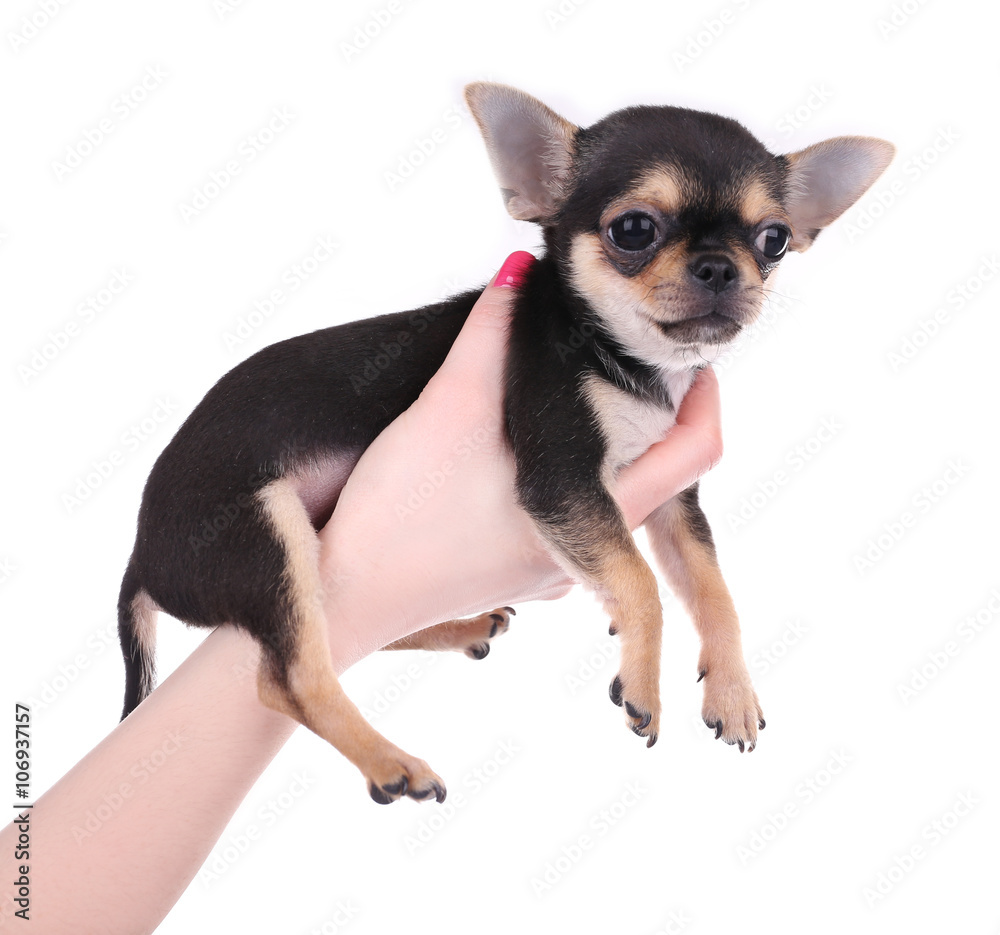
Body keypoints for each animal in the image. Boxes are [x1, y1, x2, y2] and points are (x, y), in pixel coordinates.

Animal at [115, 84, 892, 804]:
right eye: (633, 229)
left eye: (774, 240)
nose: (723, 267)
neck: (632, 365)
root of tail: (142, 557)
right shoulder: (563, 480)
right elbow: (642, 581)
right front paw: (644, 679)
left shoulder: (673, 499)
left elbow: (712, 587)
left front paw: (731, 689)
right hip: (262, 536)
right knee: (290, 680)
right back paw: (389, 760)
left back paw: (457, 627)